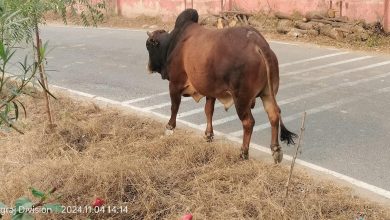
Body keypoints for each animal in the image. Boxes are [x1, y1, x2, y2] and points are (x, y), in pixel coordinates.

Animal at [145, 8, 296, 162]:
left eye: (148, 46)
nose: (149, 67)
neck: (173, 43)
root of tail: (258, 43)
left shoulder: (175, 84)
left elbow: (174, 107)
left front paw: (169, 127)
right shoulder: (210, 92)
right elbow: (208, 111)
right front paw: (208, 135)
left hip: (241, 99)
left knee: (248, 122)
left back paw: (243, 152)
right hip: (268, 93)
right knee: (274, 115)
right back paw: (276, 150)